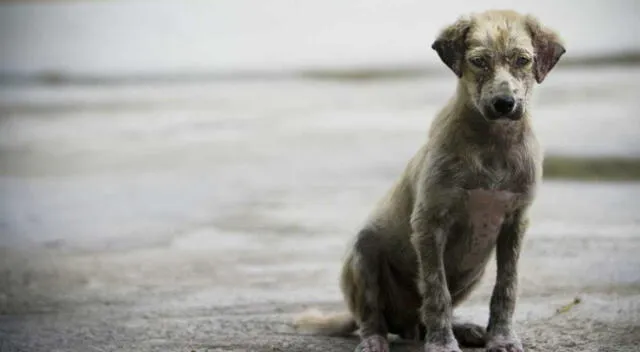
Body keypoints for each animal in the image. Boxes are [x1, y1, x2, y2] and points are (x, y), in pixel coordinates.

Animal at [294, 8, 564, 352]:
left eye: (523, 60)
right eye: (479, 61)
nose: (504, 104)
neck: (492, 143)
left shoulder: (515, 222)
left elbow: (506, 286)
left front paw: (501, 338)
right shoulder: (430, 223)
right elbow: (437, 293)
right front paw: (443, 343)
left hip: (474, 270)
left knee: (420, 320)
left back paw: (465, 329)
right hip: (364, 253)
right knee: (373, 316)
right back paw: (375, 339)